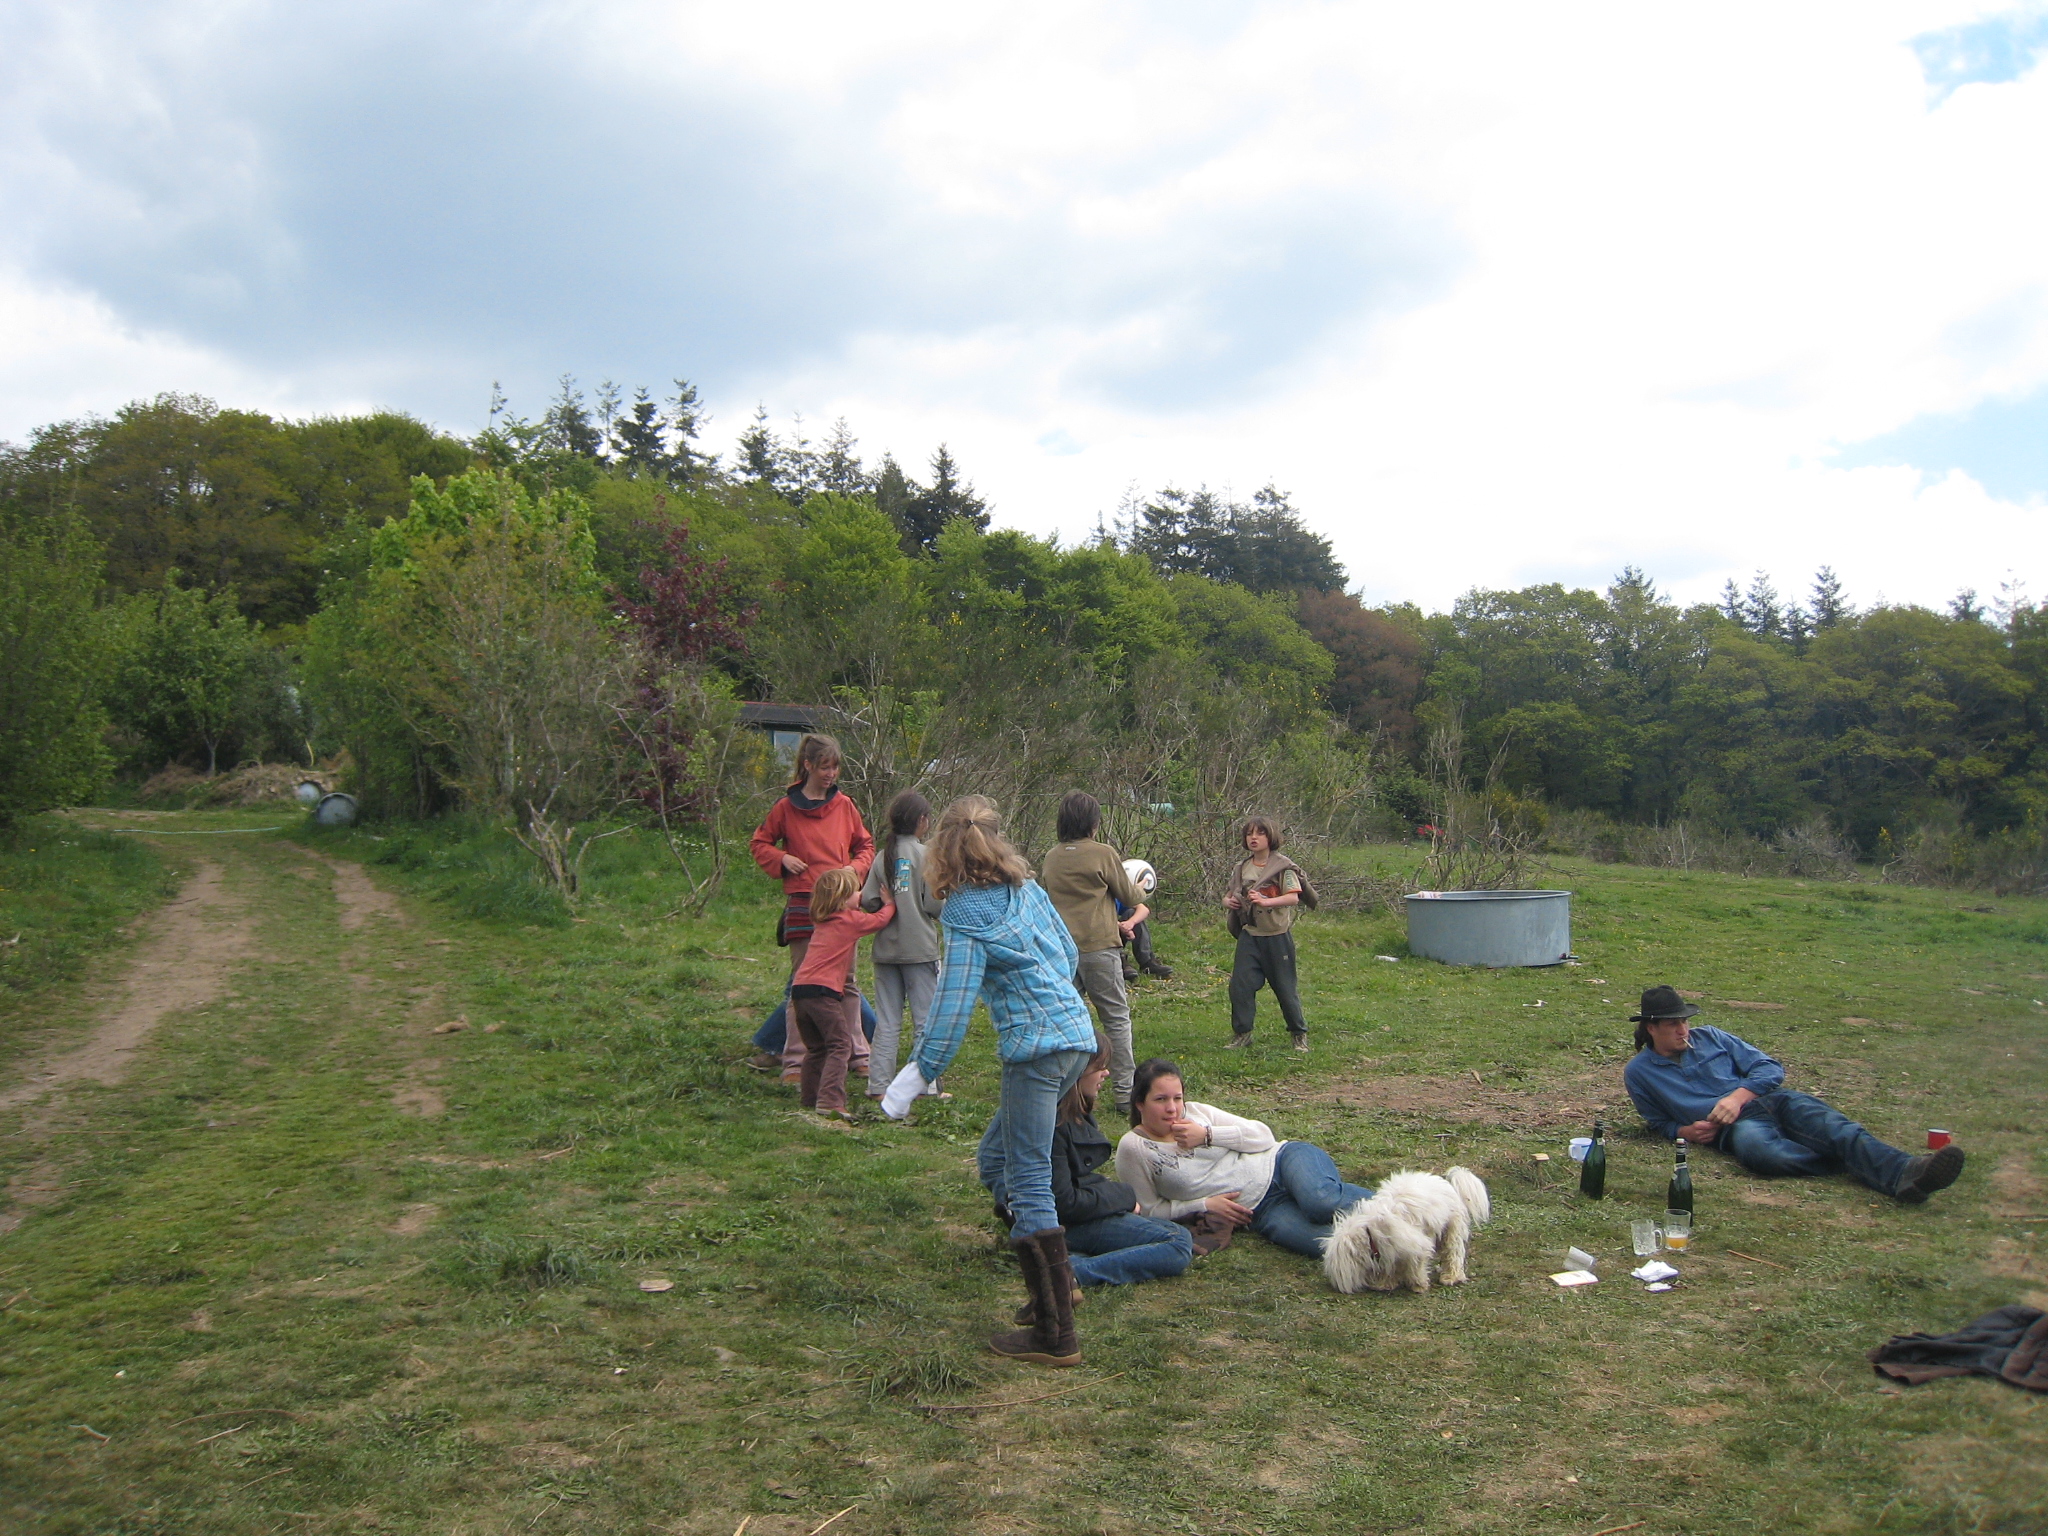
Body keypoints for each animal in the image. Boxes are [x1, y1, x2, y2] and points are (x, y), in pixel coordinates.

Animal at [1321, 1166, 1491, 1294]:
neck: (1370, 1230)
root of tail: (1450, 1185)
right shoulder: (1388, 1248)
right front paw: (1385, 1283)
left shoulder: (1415, 1244)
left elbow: (1415, 1265)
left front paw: (1418, 1284)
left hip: (1450, 1230)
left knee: (1453, 1253)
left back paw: (1451, 1277)